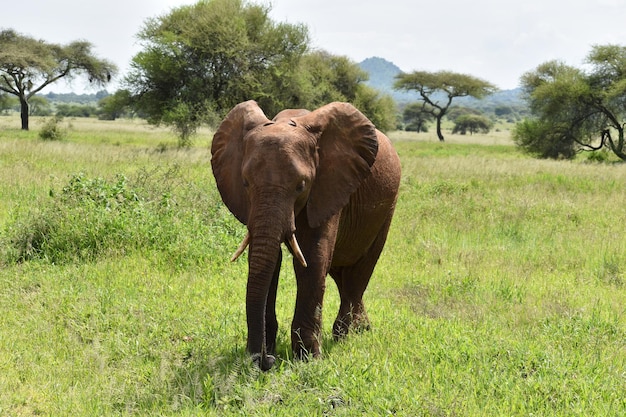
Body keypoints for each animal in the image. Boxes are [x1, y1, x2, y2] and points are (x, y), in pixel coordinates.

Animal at [211, 101, 400, 370]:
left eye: (301, 185)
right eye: (245, 182)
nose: (265, 360)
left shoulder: (328, 185)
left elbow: (312, 258)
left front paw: (307, 361)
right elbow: (269, 259)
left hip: (387, 207)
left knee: (360, 270)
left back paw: (345, 335)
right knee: (340, 273)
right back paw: (362, 329)